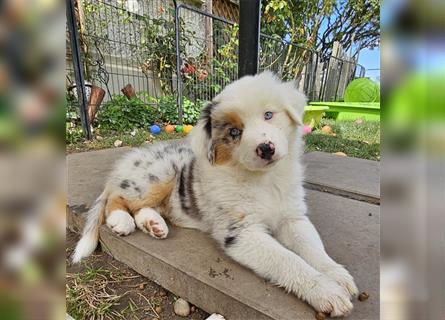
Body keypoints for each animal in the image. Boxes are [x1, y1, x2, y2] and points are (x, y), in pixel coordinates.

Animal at [73, 71, 358, 316]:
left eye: (269, 114)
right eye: (234, 132)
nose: (266, 148)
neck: (263, 180)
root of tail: (128, 160)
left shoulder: (293, 217)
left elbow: (311, 247)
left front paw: (338, 276)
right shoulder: (241, 233)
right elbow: (289, 260)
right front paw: (327, 292)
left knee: (145, 207)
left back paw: (154, 225)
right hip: (158, 175)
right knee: (116, 199)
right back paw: (122, 221)